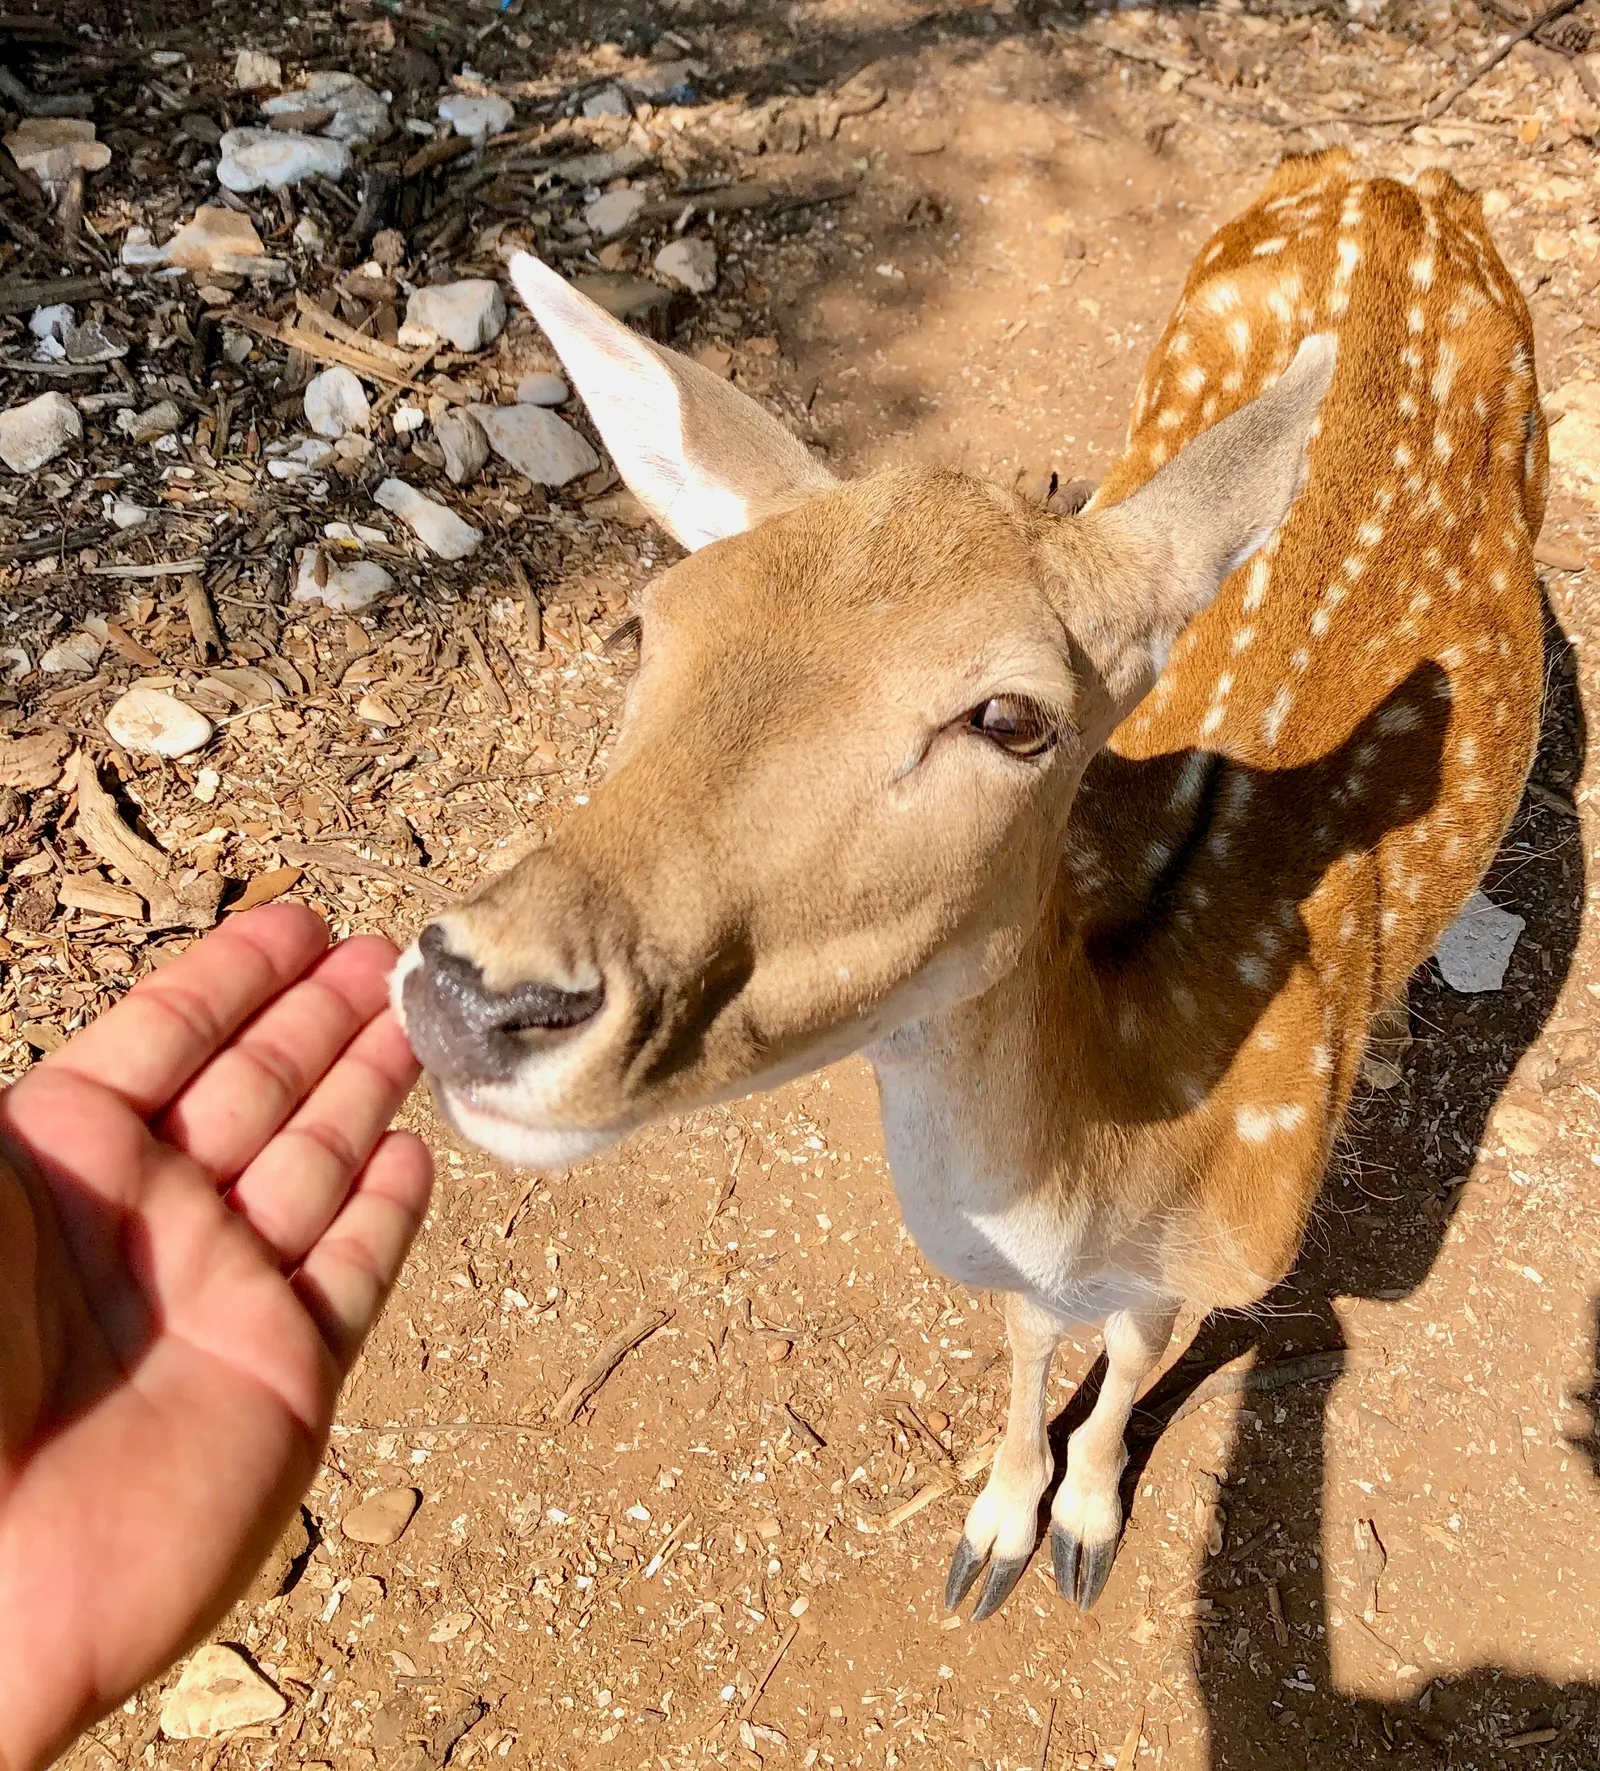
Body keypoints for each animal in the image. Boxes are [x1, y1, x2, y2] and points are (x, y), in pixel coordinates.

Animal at [394, 148, 1547, 1621]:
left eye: (1012, 717)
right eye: (642, 623)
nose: (475, 994)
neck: (1118, 1165)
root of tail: (1387, 170)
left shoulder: (1225, 1257)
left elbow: (1131, 1359)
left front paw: (1083, 1527)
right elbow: (1025, 1337)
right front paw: (996, 1526)